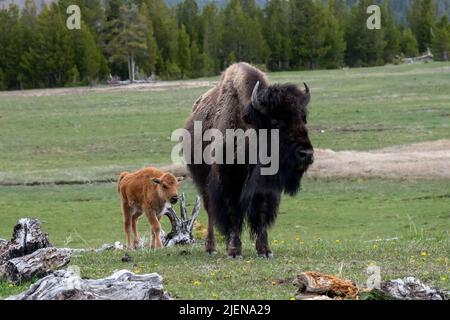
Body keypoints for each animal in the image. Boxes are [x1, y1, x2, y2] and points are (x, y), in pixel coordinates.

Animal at [183, 62, 312, 258]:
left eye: (303, 119)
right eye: (276, 121)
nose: (306, 154)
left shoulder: (265, 187)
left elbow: (261, 213)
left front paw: (265, 250)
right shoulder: (229, 180)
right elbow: (233, 213)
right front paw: (234, 251)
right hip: (202, 181)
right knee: (210, 210)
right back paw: (211, 248)